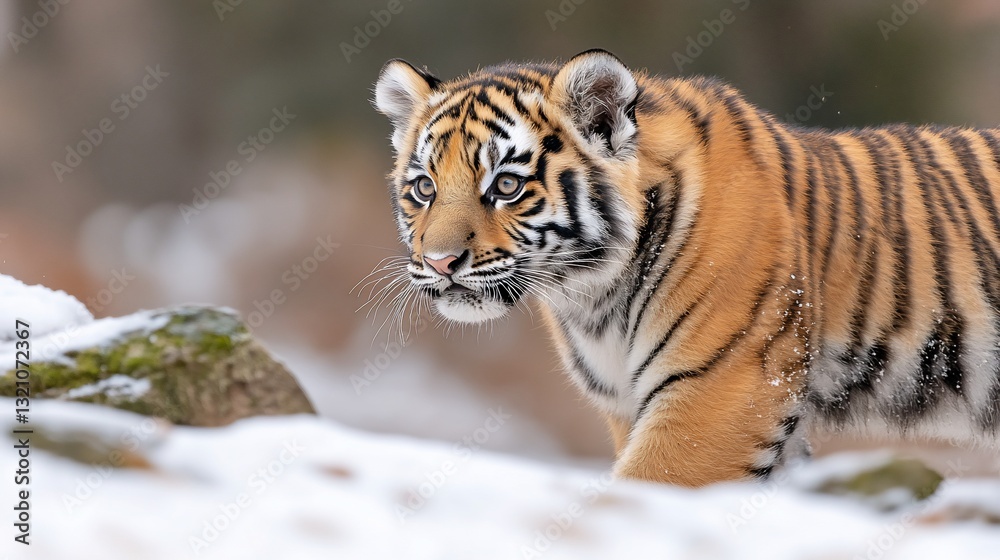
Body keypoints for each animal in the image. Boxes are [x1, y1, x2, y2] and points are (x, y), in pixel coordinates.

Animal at [372, 49, 1000, 487]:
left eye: (505, 186)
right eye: (424, 188)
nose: (440, 261)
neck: (591, 296)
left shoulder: (720, 392)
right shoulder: (635, 406)